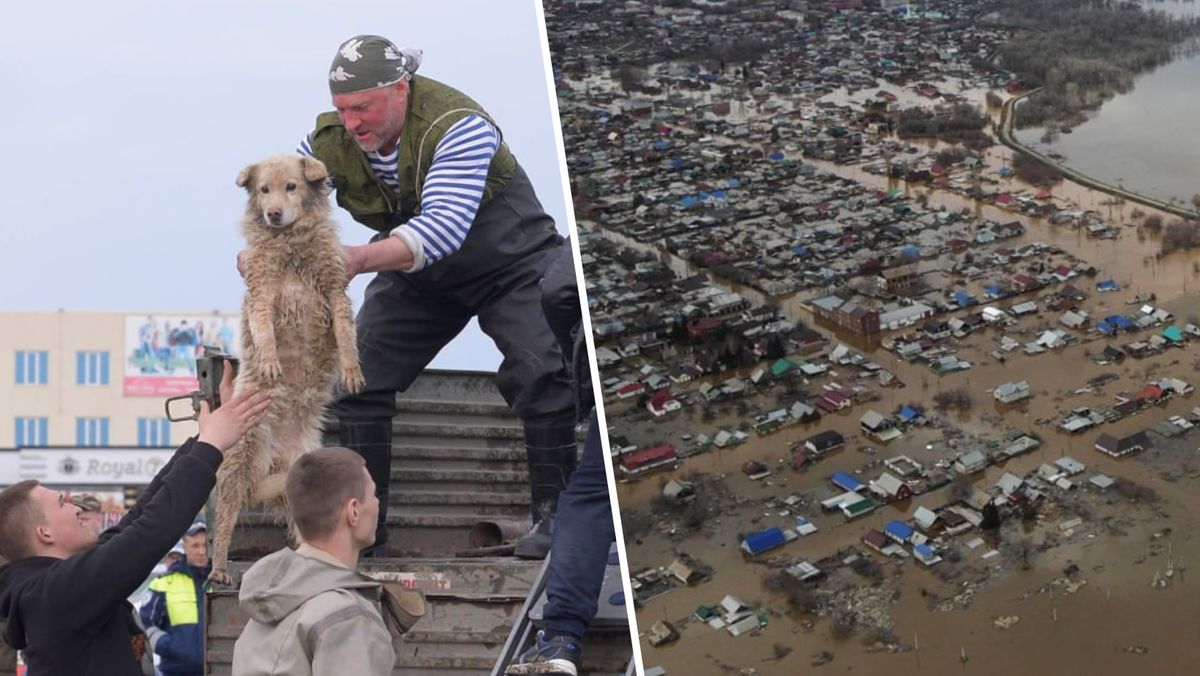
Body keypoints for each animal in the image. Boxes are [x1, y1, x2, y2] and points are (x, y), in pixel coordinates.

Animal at [208, 156, 362, 583]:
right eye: (264, 190)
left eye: (291, 186)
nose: (273, 213)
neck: (290, 245)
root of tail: (275, 456)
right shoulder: (262, 292)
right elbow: (264, 330)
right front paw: (270, 360)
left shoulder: (335, 289)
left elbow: (346, 332)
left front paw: (351, 368)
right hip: (240, 458)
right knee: (225, 517)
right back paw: (219, 566)